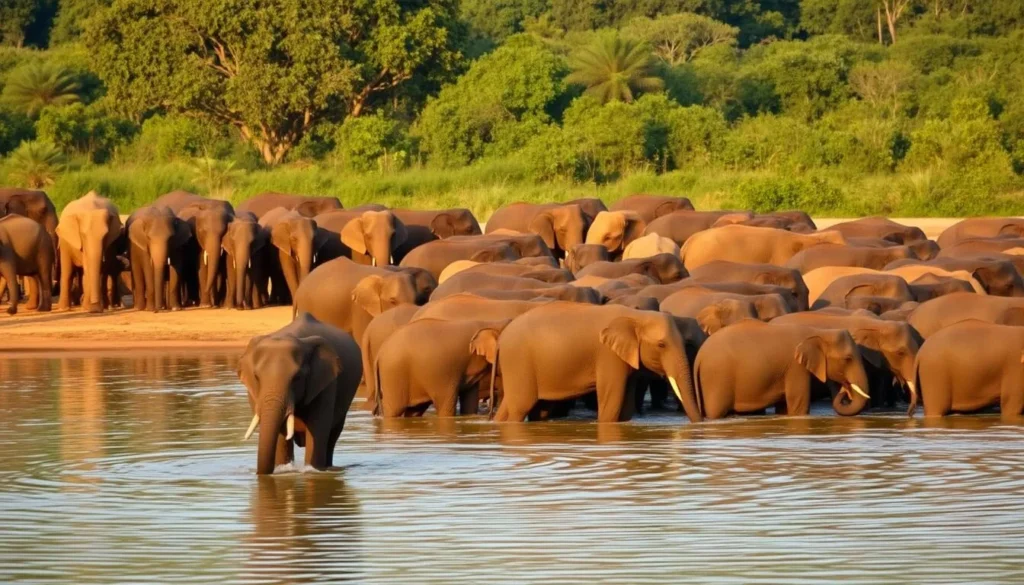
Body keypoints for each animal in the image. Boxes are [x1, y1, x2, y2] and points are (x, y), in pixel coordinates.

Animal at [237, 313, 362, 474]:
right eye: (257, 377)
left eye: (297, 378)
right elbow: (281, 436)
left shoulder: (325, 383)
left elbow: (317, 430)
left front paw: (313, 470)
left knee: (332, 436)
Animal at [375, 318, 508, 417]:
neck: (492, 323)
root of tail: (379, 353)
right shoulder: (446, 371)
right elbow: (445, 405)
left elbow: (469, 403)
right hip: (392, 374)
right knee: (394, 410)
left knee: (414, 411)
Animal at [493, 302, 702, 423]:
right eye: (661, 345)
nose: (699, 424)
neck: (636, 316)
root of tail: (501, 338)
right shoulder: (608, 356)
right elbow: (612, 403)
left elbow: (625, 408)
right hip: (518, 361)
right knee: (520, 407)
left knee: (530, 408)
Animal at [695, 321, 873, 419]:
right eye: (847, 359)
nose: (845, 389)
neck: (818, 332)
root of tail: (699, 356)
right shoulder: (795, 367)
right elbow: (798, 405)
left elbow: (784, 408)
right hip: (716, 378)